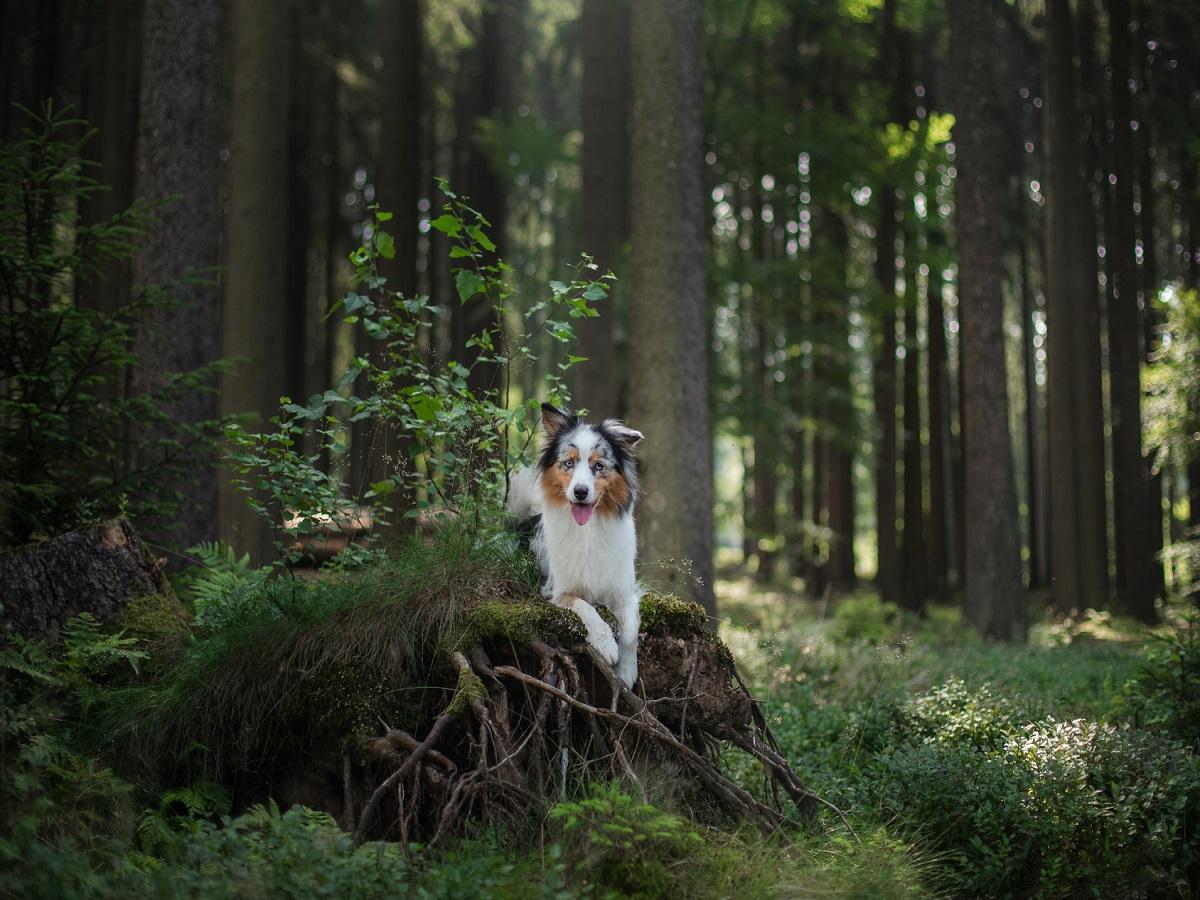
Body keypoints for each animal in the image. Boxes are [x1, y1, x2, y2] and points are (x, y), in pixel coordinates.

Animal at [504, 405, 643, 686]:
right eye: (569, 463)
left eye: (598, 466)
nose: (580, 492)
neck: (588, 531)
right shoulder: (557, 592)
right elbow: (586, 607)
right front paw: (606, 645)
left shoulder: (625, 593)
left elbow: (631, 631)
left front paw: (626, 670)